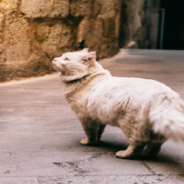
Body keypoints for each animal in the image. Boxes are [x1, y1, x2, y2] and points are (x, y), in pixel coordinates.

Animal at [52, 48, 184, 158]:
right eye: (61, 56)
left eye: (66, 59)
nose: (54, 59)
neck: (86, 78)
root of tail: (163, 93)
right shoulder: (98, 117)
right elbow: (98, 131)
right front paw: (97, 141)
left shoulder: (85, 116)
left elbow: (89, 132)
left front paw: (88, 142)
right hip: (156, 130)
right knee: (155, 146)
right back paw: (146, 155)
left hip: (130, 125)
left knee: (138, 143)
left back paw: (124, 154)